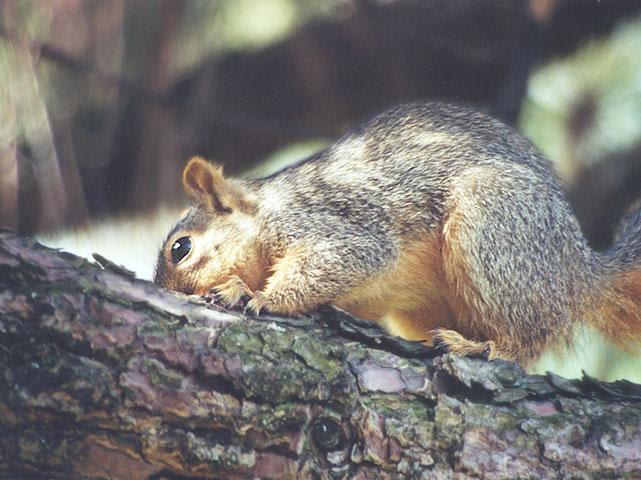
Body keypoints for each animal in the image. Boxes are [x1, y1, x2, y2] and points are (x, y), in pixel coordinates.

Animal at [154, 102, 640, 368]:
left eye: (181, 248)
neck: (266, 209)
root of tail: (579, 271)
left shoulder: (330, 223)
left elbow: (342, 258)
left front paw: (253, 294)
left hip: (495, 224)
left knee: (529, 339)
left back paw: (480, 348)